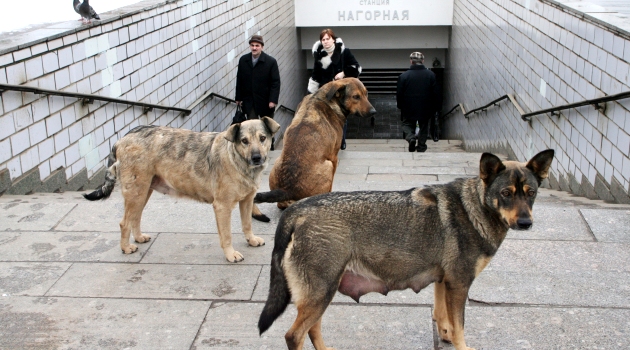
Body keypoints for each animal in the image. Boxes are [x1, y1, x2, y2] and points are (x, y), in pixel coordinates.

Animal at [82, 118, 280, 262]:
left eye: (263, 138)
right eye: (244, 141)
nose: (257, 158)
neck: (236, 159)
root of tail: (122, 138)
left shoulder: (247, 200)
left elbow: (247, 224)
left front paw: (251, 240)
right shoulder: (222, 207)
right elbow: (227, 235)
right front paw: (230, 254)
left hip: (144, 191)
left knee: (135, 217)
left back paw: (138, 238)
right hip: (136, 192)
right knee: (124, 222)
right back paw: (125, 248)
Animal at [260, 149, 556, 348]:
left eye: (531, 193)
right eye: (506, 193)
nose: (526, 223)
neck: (475, 207)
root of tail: (297, 210)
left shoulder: (444, 282)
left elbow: (443, 319)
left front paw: (445, 337)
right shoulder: (459, 284)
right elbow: (459, 327)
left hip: (322, 293)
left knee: (312, 330)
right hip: (321, 292)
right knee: (294, 335)